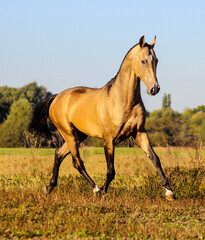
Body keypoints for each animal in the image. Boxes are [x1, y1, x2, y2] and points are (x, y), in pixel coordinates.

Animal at [30, 35, 175, 201]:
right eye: (143, 61)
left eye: (156, 60)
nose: (154, 89)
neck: (123, 100)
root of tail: (57, 97)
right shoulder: (109, 139)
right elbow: (111, 171)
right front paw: (103, 193)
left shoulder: (140, 133)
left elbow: (155, 159)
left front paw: (169, 192)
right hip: (69, 133)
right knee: (77, 162)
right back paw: (96, 190)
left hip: (79, 135)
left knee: (59, 154)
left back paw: (48, 188)